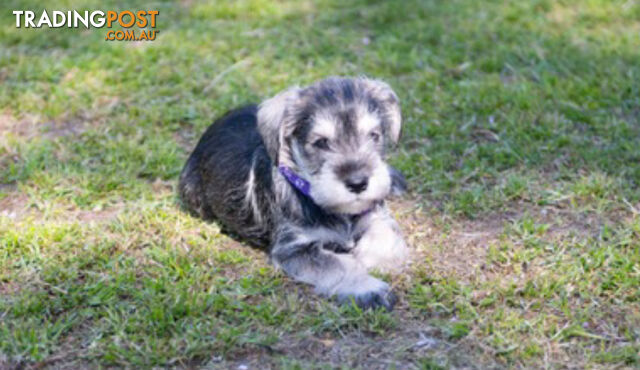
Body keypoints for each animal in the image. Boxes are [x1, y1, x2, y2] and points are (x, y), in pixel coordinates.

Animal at [179, 76, 410, 310]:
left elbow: (385, 239)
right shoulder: (294, 248)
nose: (358, 183)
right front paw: (367, 287)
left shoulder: (377, 217)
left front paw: (367, 260)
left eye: (374, 135)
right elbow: (338, 264)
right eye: (321, 142)